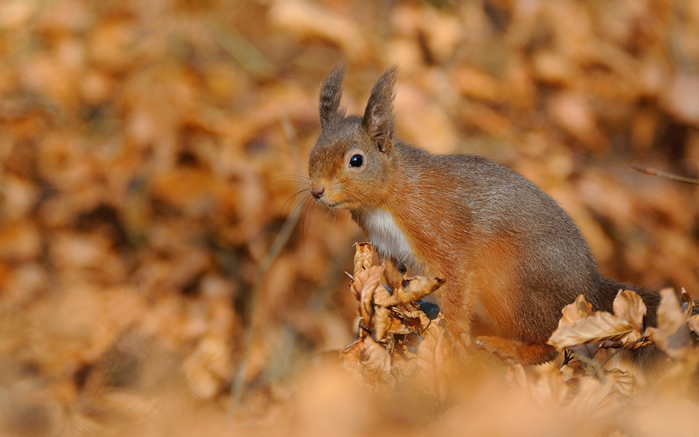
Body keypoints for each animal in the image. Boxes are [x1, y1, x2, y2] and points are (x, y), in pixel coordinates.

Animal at [308, 63, 668, 364]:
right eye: (313, 152)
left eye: (356, 160)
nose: (316, 190)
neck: (384, 200)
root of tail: (588, 288)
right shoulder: (385, 246)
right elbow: (394, 279)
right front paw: (399, 307)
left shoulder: (440, 229)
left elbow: (455, 282)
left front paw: (454, 336)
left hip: (512, 285)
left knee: (550, 342)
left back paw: (510, 348)